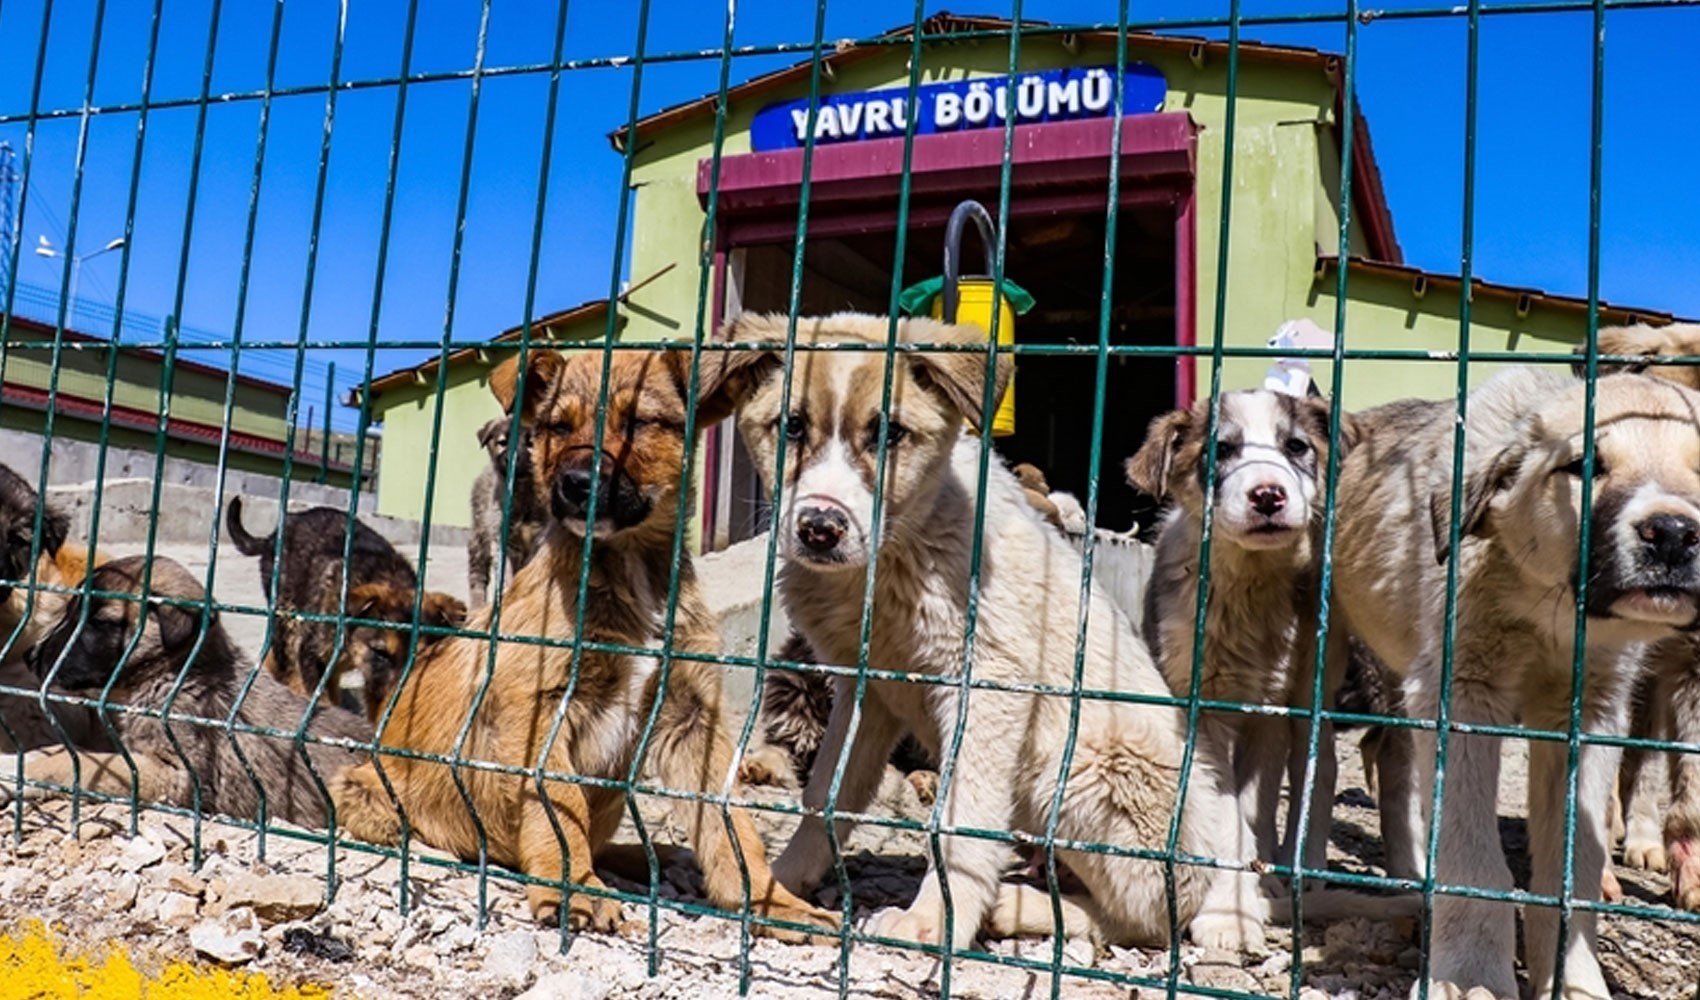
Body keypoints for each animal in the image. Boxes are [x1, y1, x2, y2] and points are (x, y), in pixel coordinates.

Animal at [226, 496, 469, 717]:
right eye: (381, 653)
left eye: (422, 656)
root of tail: (272, 536)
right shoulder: (311, 654)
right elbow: (321, 697)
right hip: (286, 621)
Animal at [324, 343, 836, 938]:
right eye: (556, 427)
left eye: (638, 423)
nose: (575, 484)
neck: (626, 569)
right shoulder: (538, 710)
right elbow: (559, 806)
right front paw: (577, 890)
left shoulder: (693, 719)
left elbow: (730, 823)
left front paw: (774, 905)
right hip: (366, 788)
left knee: (604, 839)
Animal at [717, 314, 1224, 952]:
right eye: (790, 426)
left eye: (890, 434)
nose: (820, 528)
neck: (891, 559)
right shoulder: (864, 689)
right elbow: (828, 793)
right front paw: (779, 883)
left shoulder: (988, 687)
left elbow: (960, 820)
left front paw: (932, 921)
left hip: (1088, 771)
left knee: (1146, 919)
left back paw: (1017, 906)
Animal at [1332, 369, 1700, 1000]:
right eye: (1584, 465)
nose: (1674, 533)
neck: (1551, 614)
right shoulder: (1462, 693)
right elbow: (1474, 855)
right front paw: (1468, 975)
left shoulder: (1591, 715)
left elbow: (1573, 865)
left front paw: (1573, 980)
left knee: (1390, 755)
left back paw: (1411, 871)